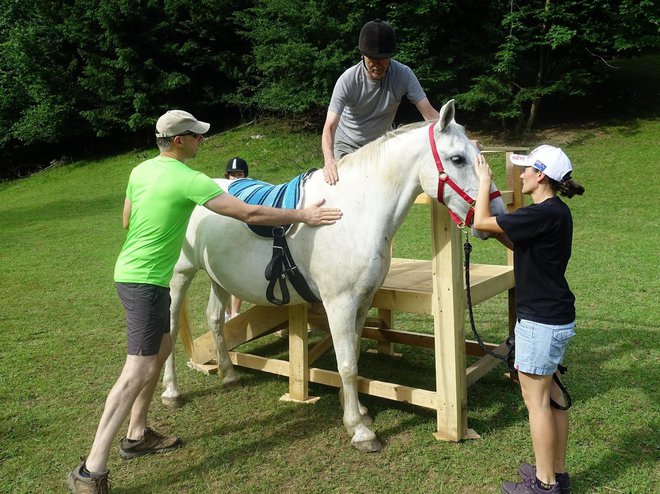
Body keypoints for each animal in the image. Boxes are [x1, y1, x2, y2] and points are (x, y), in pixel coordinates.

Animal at [161, 99, 506, 452]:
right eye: (457, 159)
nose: (496, 215)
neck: (351, 213)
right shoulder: (339, 303)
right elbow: (347, 364)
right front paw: (360, 430)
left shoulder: (362, 301)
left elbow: (353, 353)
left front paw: (357, 410)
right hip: (179, 275)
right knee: (170, 328)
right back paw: (171, 392)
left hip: (219, 277)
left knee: (215, 319)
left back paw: (229, 374)